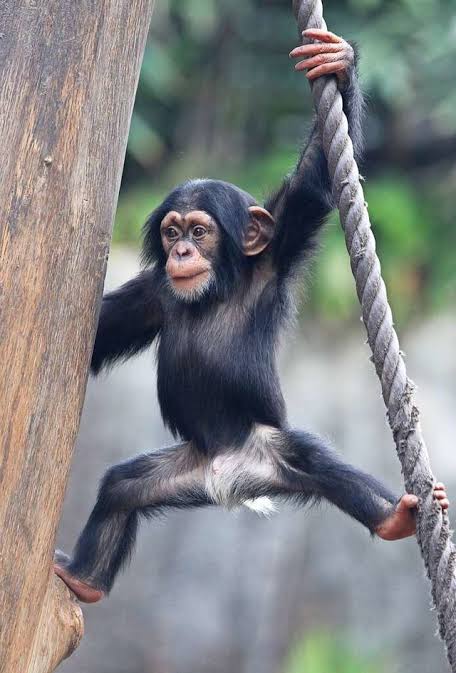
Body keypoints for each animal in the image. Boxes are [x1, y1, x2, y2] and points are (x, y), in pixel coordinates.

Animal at [55, 29, 449, 604]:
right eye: (171, 232)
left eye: (200, 231)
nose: (181, 253)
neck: (215, 290)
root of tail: (228, 481)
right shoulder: (151, 295)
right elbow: (102, 335)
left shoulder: (279, 249)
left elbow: (313, 184)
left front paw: (339, 63)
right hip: (181, 471)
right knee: (120, 489)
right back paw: (84, 580)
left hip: (267, 453)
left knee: (314, 460)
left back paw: (394, 517)